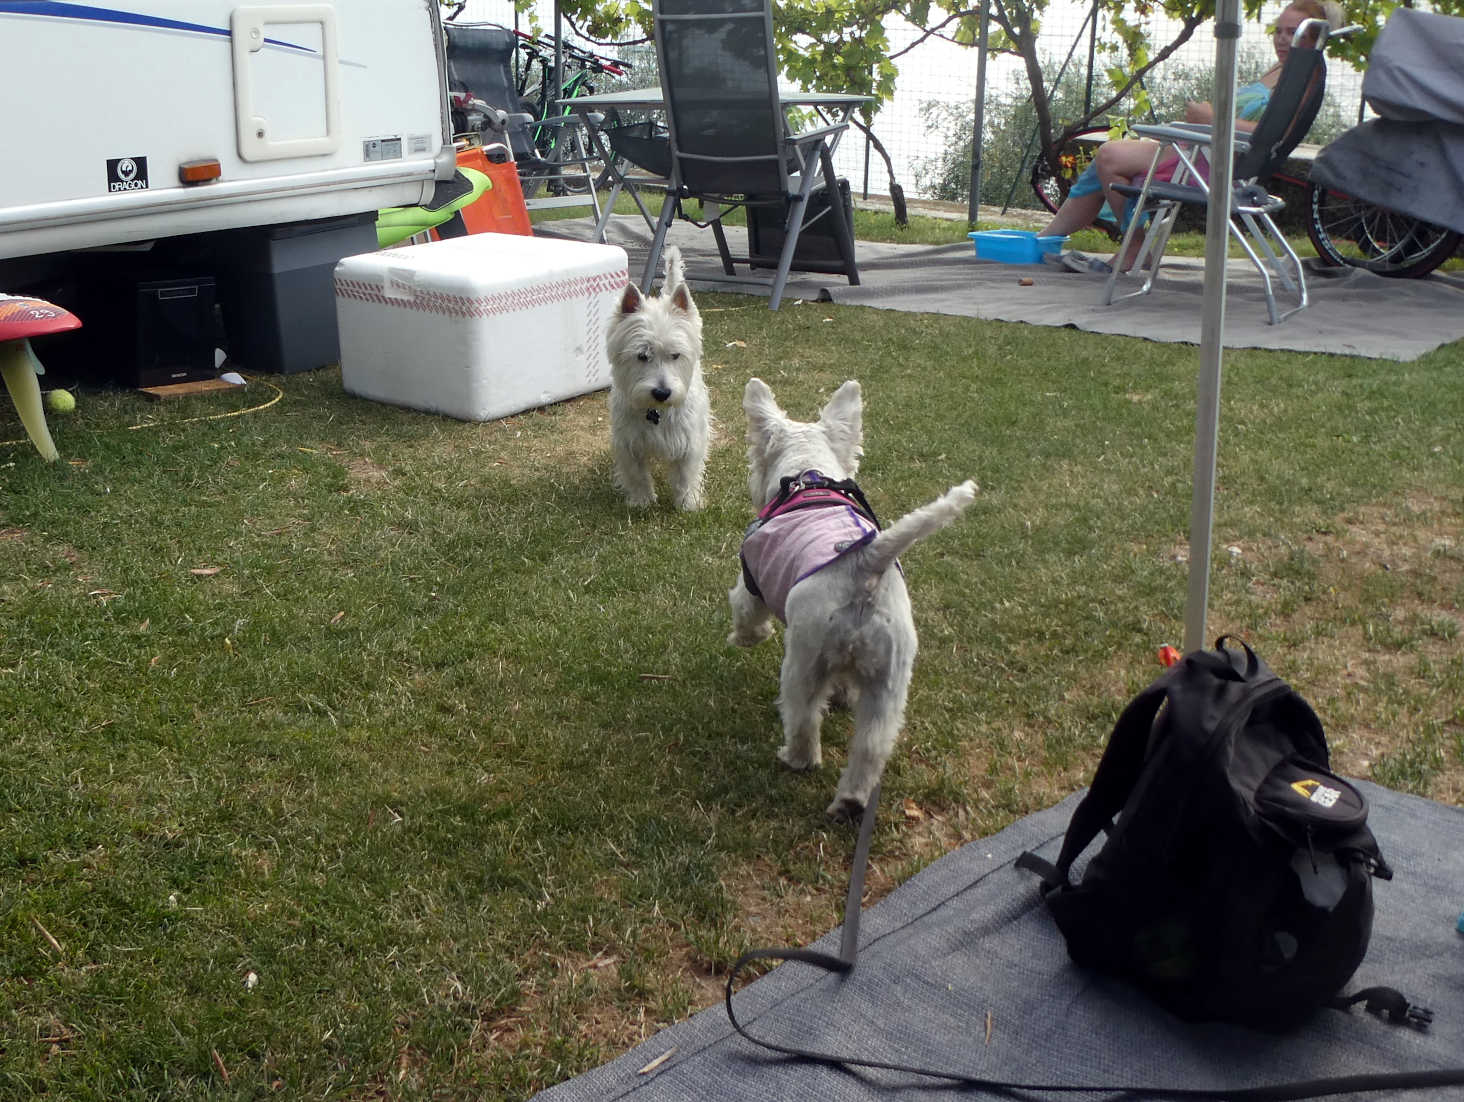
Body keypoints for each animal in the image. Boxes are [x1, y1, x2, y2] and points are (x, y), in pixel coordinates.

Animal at [603, 244, 711, 512]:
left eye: (675, 355)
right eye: (642, 355)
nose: (662, 393)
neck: (656, 411)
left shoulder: (688, 441)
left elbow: (685, 475)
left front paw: (687, 504)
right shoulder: (629, 443)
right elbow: (637, 475)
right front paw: (642, 502)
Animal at [729, 377, 977, 819]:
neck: (807, 475)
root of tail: (866, 564)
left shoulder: (751, 579)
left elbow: (746, 613)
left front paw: (745, 638)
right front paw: (844, 694)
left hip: (804, 663)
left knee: (805, 720)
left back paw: (795, 759)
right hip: (889, 682)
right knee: (872, 746)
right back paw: (850, 800)